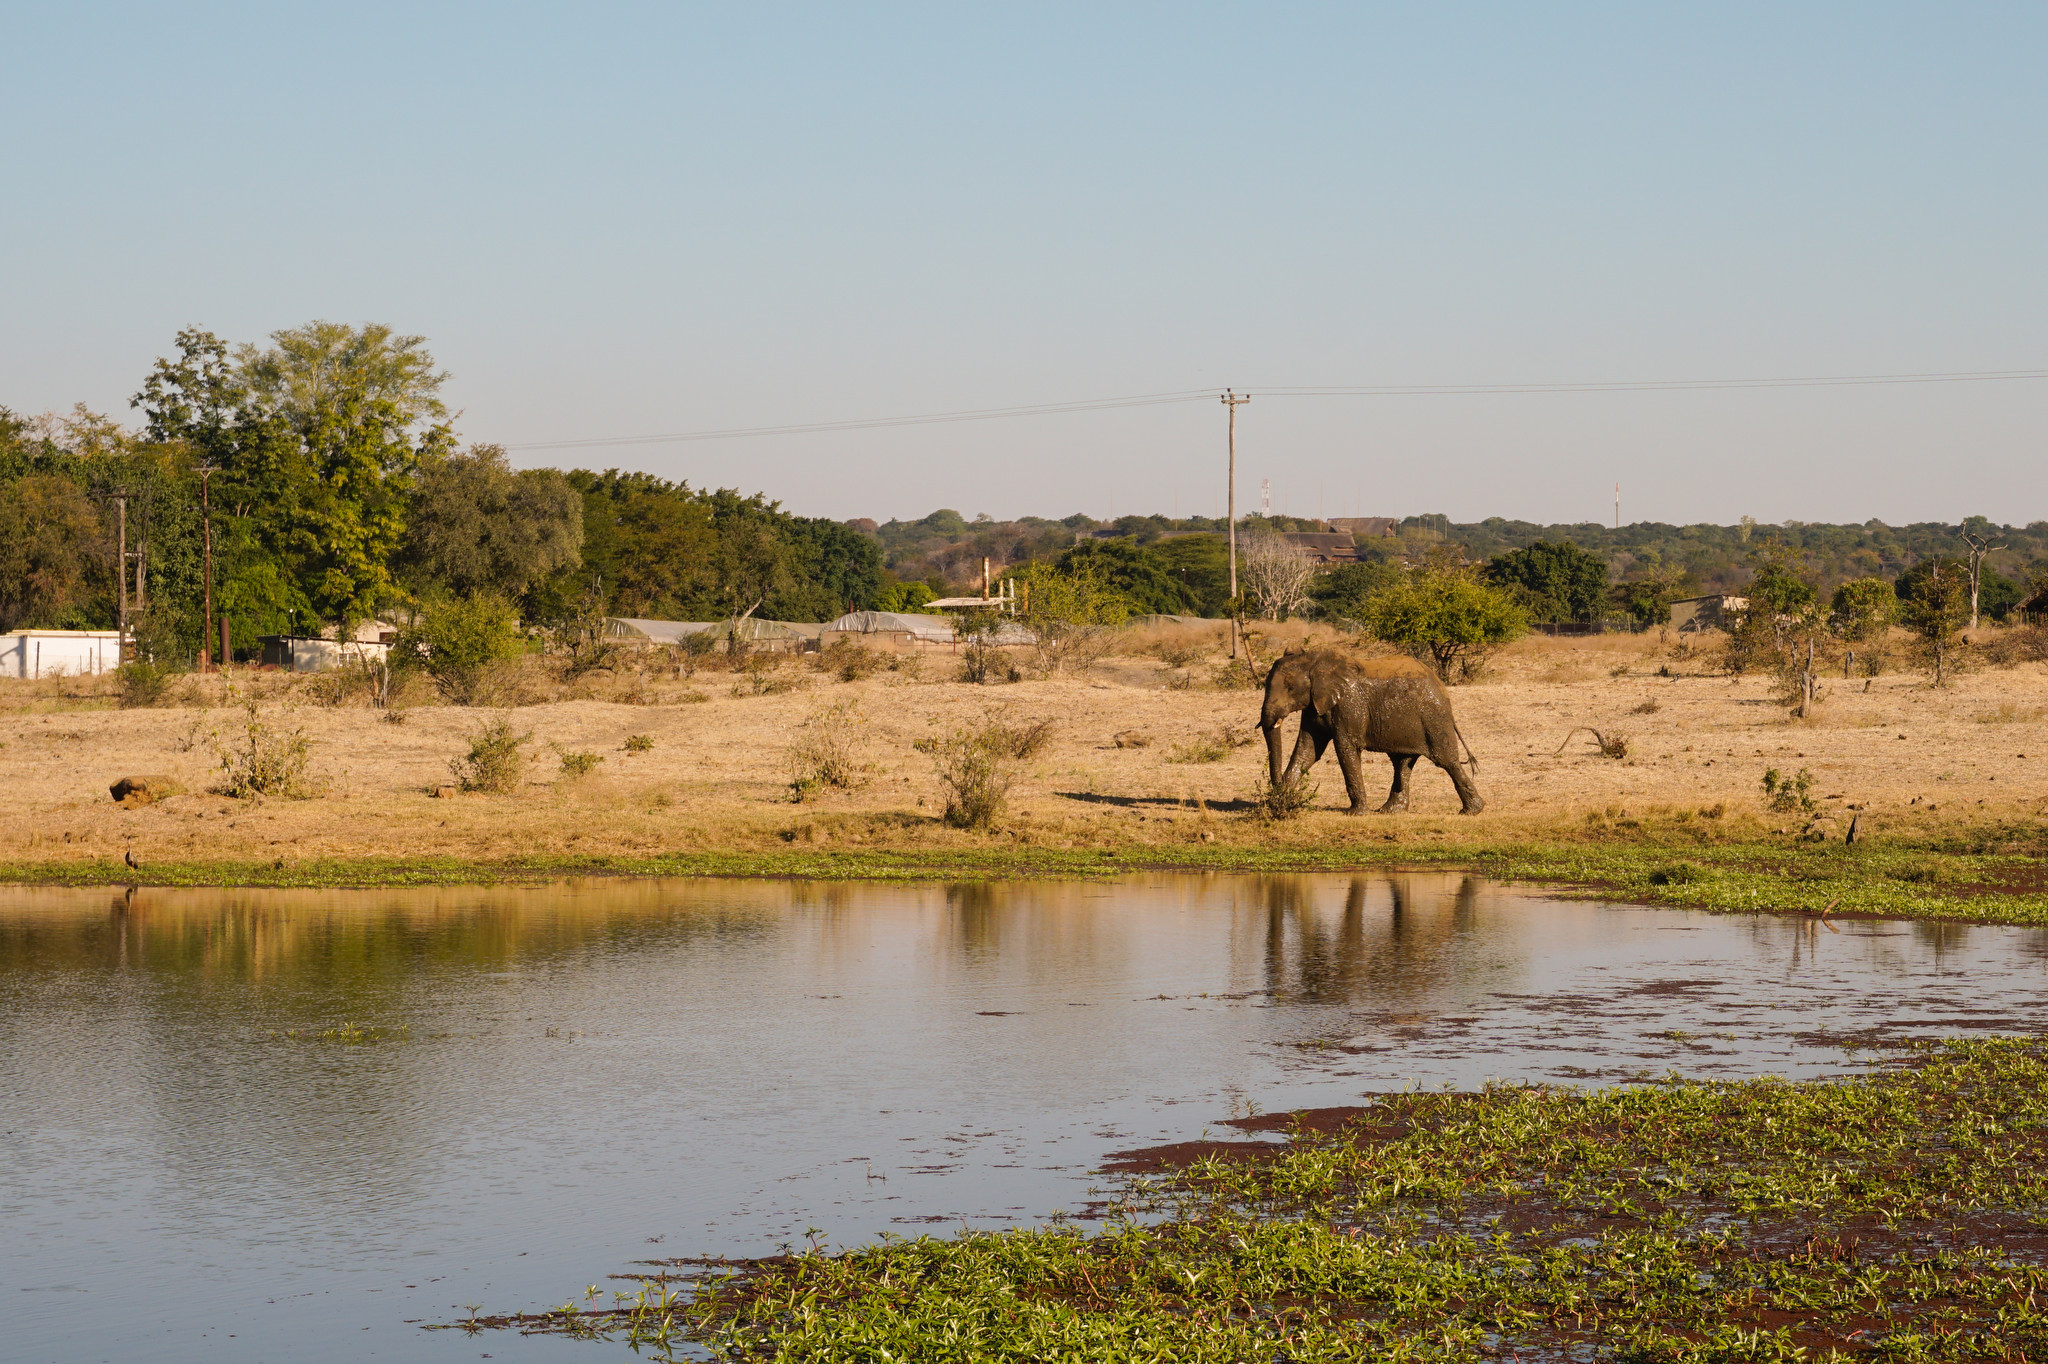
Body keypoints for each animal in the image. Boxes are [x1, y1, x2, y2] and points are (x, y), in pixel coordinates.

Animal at [1253, 647, 1482, 811]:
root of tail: (1440, 685)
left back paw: (1472, 811)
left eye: (1290, 688)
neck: (1314, 660)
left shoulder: (1349, 705)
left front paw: (1356, 813)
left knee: (1446, 761)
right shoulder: (1314, 705)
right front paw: (1279, 802)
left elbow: (1345, 748)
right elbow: (1308, 750)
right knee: (1402, 763)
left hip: (1434, 717)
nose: (1275, 793)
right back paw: (1389, 811)